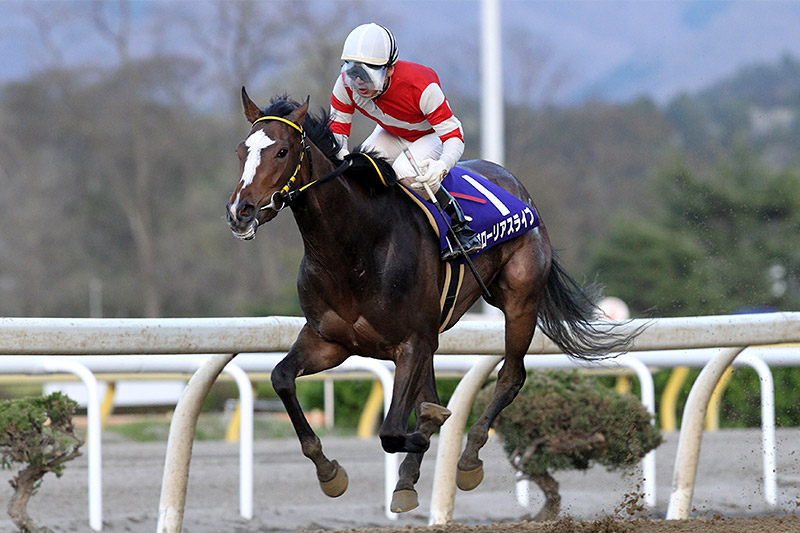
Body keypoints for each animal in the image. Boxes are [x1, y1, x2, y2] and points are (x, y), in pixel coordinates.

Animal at [225, 88, 636, 512]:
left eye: (282, 151)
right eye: (241, 151)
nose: (241, 211)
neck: (355, 249)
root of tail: (516, 185)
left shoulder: (411, 342)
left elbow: (394, 430)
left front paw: (425, 436)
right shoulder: (330, 341)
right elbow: (281, 379)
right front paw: (329, 472)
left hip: (520, 299)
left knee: (511, 376)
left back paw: (467, 458)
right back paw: (409, 475)